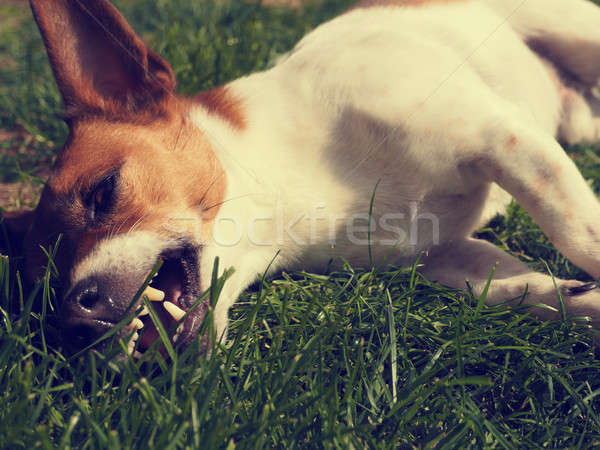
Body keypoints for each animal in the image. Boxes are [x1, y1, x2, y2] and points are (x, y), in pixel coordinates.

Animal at [14, 0, 600, 356]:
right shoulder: (445, 254)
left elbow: (579, 233)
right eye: (46, 283)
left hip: (570, 32)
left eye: (103, 192)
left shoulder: (501, 137)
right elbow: (514, 287)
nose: (74, 320)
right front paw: (578, 300)